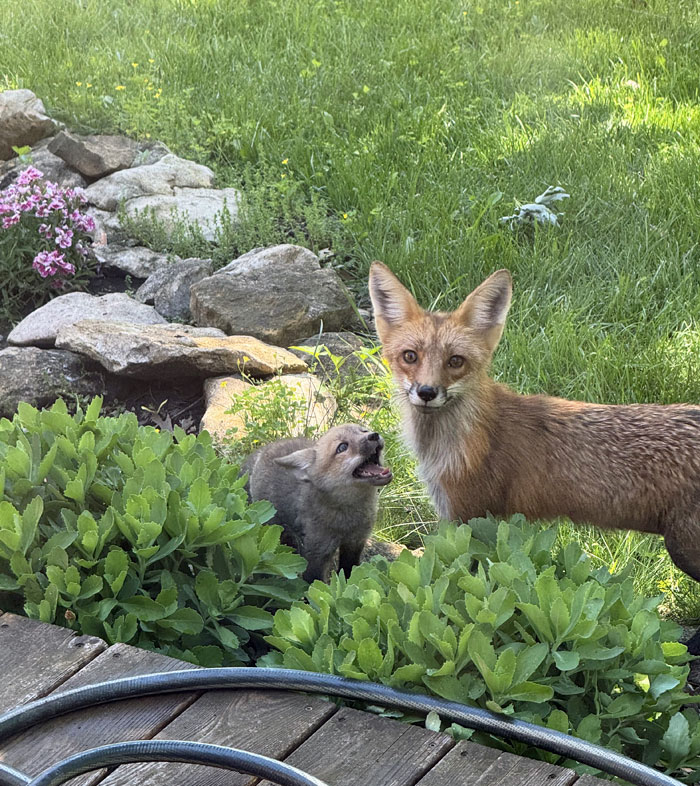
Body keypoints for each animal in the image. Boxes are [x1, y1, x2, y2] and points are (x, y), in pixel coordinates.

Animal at [242, 424, 393, 582]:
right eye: (342, 447)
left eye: (363, 430)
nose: (374, 435)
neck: (347, 521)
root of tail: (265, 448)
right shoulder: (317, 554)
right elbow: (314, 583)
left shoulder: (355, 542)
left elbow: (349, 573)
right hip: (274, 526)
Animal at [369, 261, 700, 651]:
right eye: (410, 356)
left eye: (455, 361)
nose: (426, 391)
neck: (462, 440)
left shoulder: (470, 519)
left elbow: (463, 592)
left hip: (684, 549)